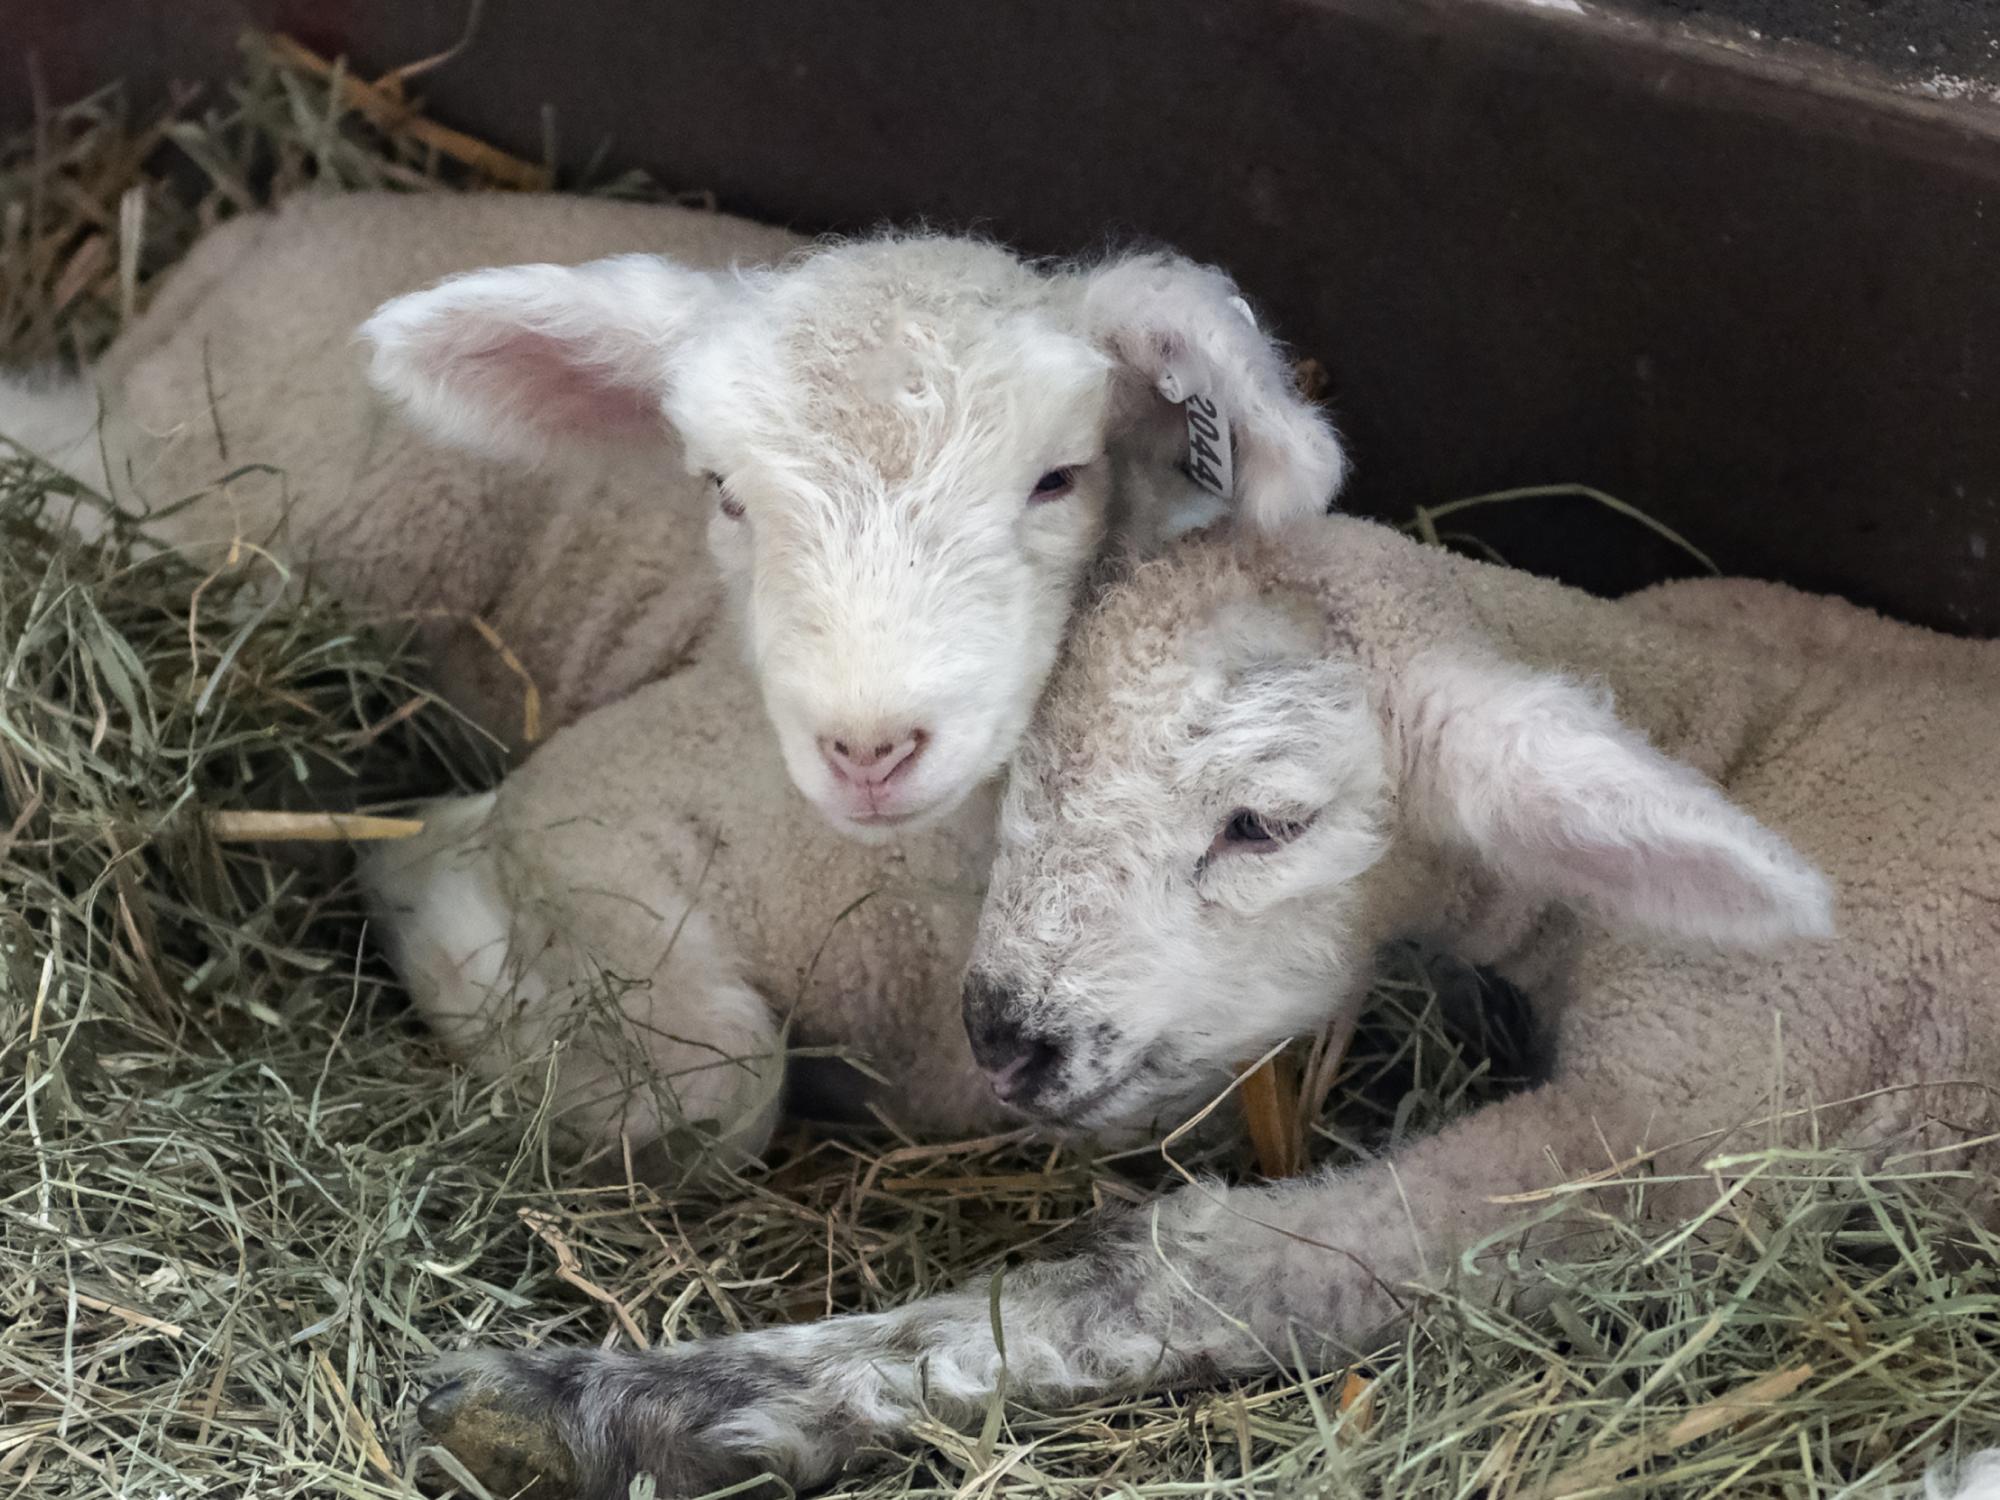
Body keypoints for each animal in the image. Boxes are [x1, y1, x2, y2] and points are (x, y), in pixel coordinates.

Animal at [0, 191, 1346, 1160]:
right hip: (206, 504)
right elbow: (722, 1077)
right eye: (724, 493)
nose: (867, 748)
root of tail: (238, 243)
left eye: (1057, 480)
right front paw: (431, 901)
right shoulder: (591, 799)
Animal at [408, 513, 2000, 1498]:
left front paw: (619, 1402)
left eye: (1265, 825)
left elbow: (1193, 1271)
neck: (1744, 727)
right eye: (1020, 765)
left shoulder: (1683, 1141)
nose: (1010, 1034)